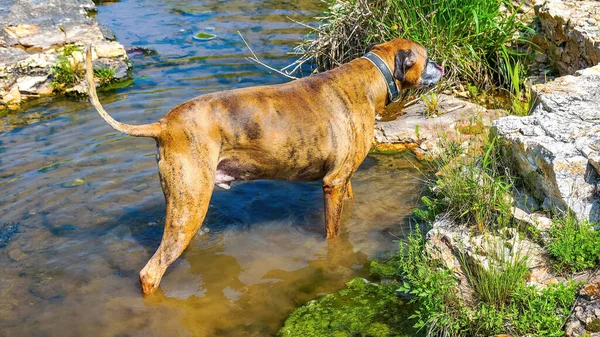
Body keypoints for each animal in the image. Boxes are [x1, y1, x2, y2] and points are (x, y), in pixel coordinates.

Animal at [88, 38, 446, 292]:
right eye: (428, 57)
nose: (442, 69)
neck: (372, 76)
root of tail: (164, 125)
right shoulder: (332, 184)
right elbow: (333, 235)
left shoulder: (344, 181)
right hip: (189, 206)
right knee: (150, 273)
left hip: (185, 208)